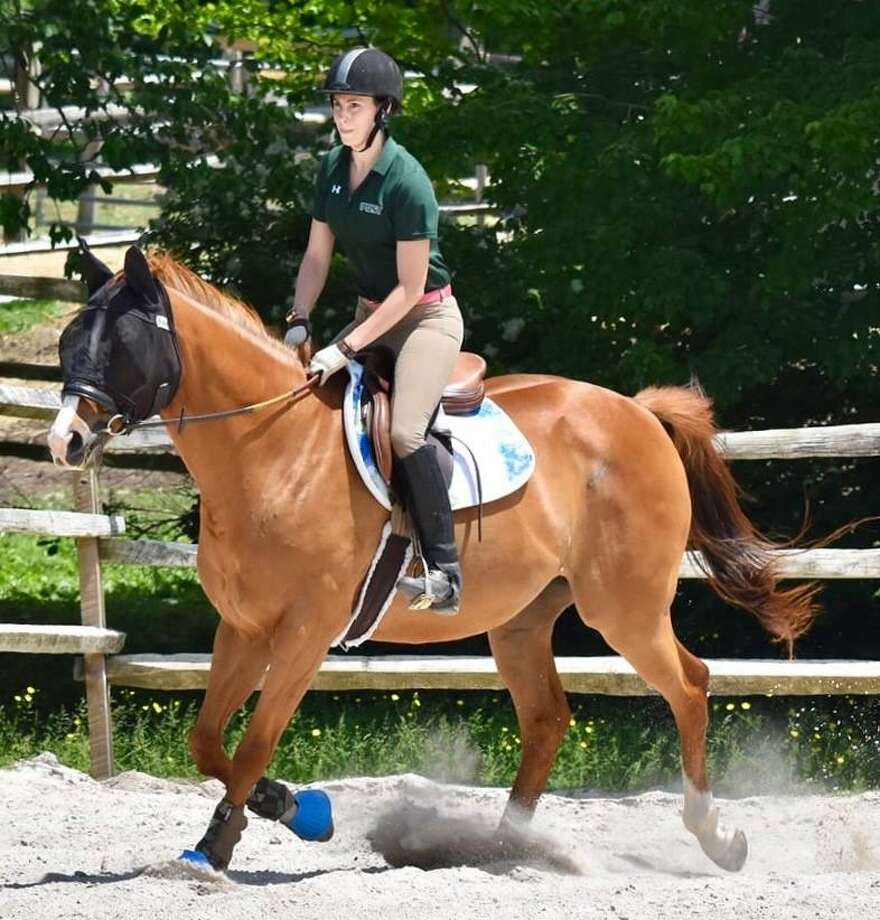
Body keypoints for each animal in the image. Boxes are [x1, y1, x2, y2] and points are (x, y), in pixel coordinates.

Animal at [48, 246, 820, 876]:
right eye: (68, 343)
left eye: (121, 346)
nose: (65, 441)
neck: (270, 449)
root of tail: (635, 411)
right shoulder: (242, 628)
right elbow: (208, 741)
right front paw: (298, 811)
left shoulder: (303, 635)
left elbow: (254, 741)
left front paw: (214, 849)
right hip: (521, 621)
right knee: (548, 719)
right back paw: (501, 846)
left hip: (624, 610)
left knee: (689, 685)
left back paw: (715, 837)